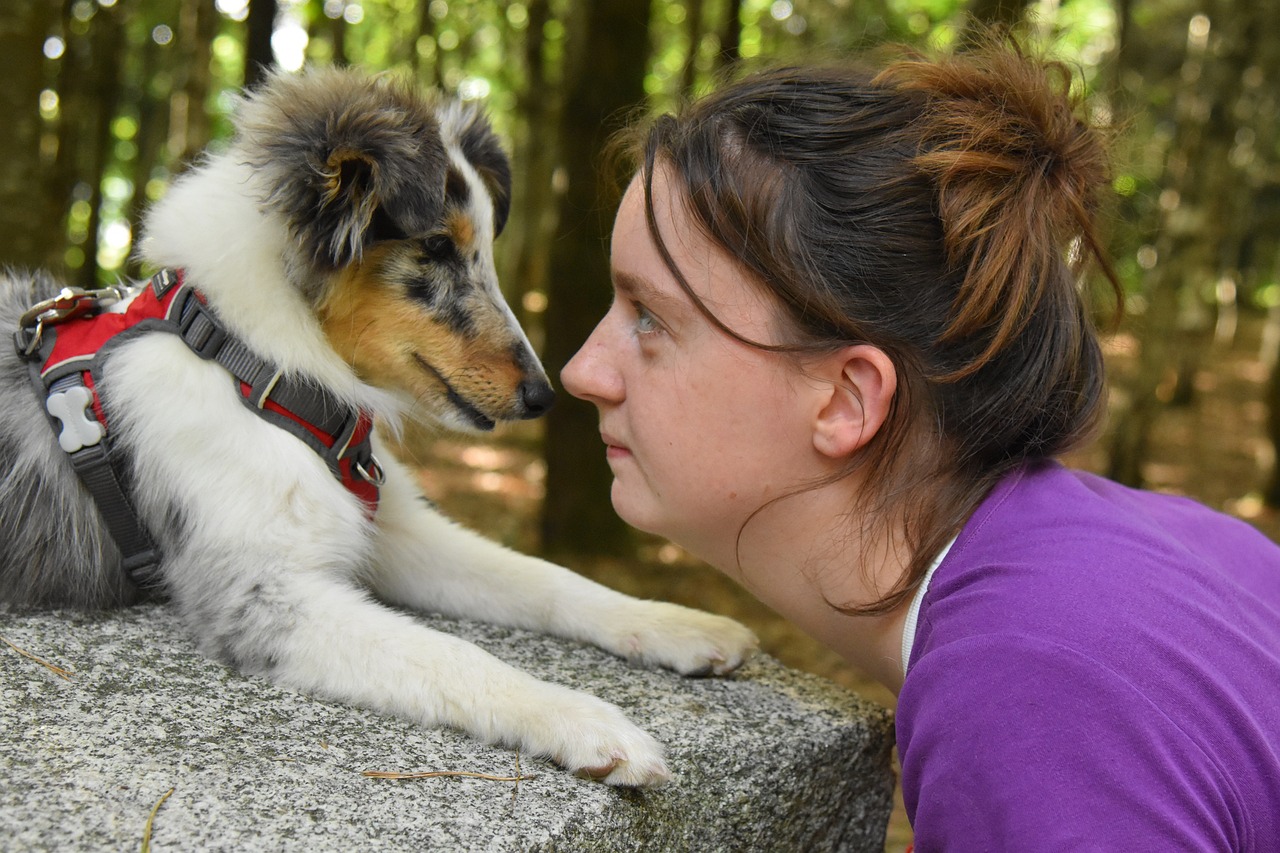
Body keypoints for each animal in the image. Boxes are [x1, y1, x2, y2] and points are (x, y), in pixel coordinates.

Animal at [0, 66, 752, 783]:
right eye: (437, 247)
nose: (543, 396)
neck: (256, 362)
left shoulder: (395, 532)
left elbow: (547, 578)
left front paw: (676, 623)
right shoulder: (260, 596)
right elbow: (454, 655)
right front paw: (591, 724)